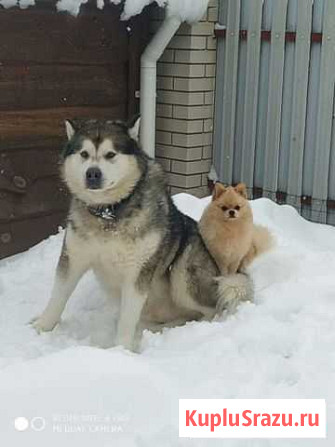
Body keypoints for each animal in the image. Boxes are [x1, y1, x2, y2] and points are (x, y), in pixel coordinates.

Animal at [33, 118, 255, 350]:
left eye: (110, 154)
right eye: (84, 154)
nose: (92, 173)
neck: (108, 212)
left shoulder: (137, 270)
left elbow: (127, 319)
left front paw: (120, 350)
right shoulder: (73, 257)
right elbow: (58, 296)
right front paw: (41, 327)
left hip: (184, 274)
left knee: (209, 310)